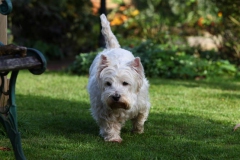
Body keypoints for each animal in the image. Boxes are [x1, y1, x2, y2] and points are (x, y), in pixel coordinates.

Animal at [87, 14, 149, 142]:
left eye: (125, 83)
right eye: (108, 83)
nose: (116, 97)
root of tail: (113, 47)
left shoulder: (142, 105)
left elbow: (140, 118)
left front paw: (138, 130)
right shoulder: (103, 110)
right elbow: (110, 124)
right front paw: (113, 138)